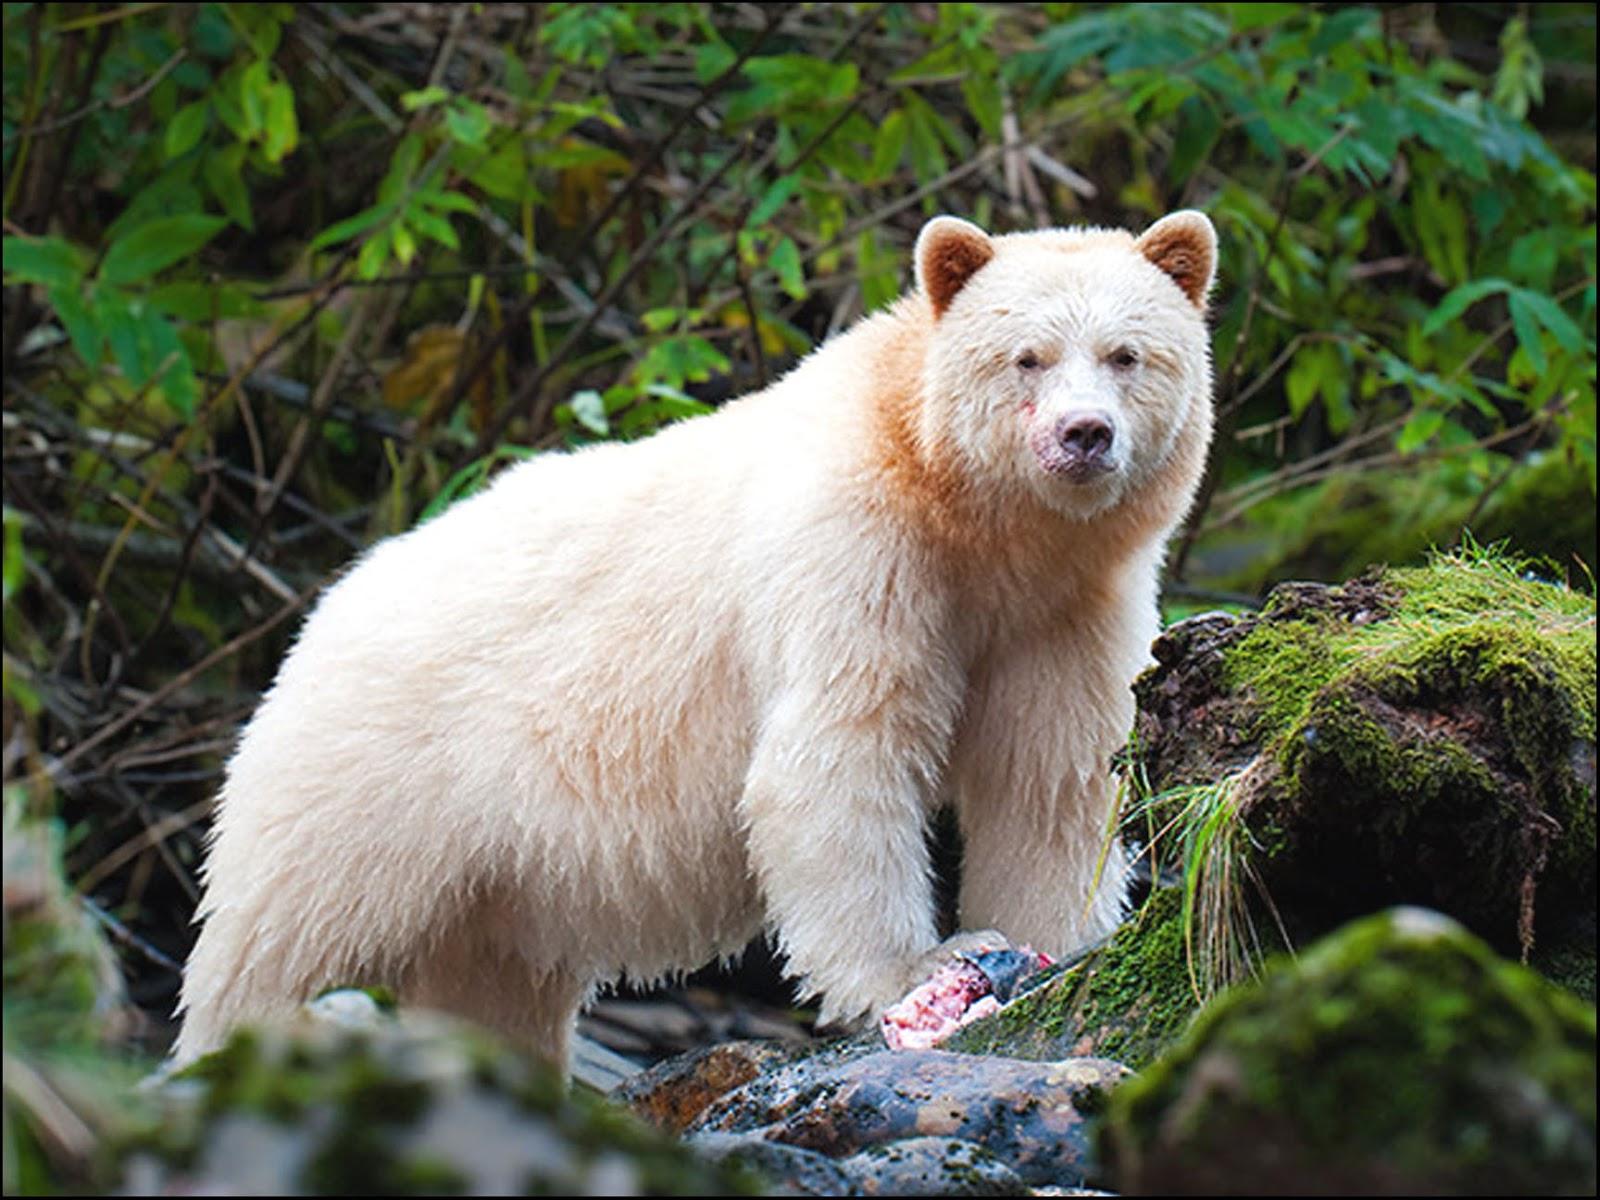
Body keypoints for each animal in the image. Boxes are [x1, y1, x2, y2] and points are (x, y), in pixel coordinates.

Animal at [174, 209, 1218, 1073]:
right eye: (1025, 358)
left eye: (1127, 355)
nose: (1084, 436)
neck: (975, 525)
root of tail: (326, 608)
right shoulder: (855, 558)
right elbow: (837, 757)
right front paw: (922, 967)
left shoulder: (1066, 607)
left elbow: (1052, 772)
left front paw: (1060, 942)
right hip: (371, 783)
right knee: (279, 947)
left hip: (492, 873)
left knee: (489, 983)